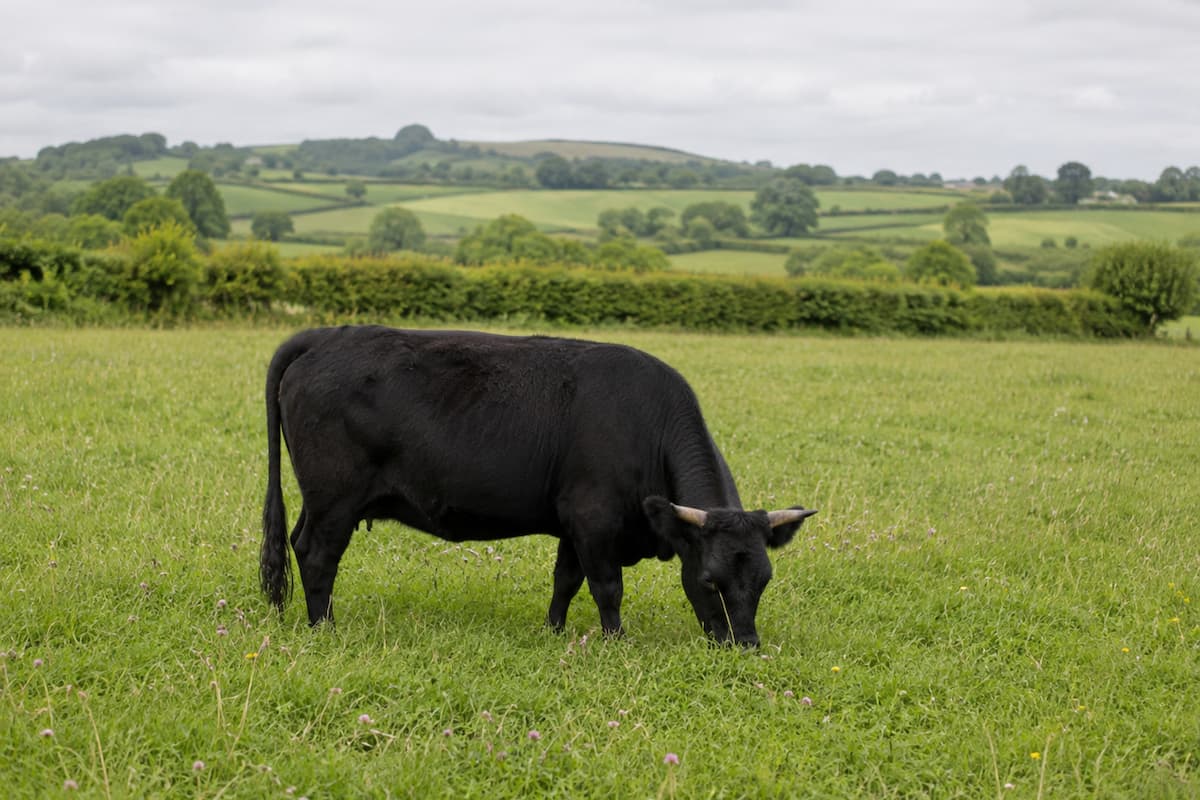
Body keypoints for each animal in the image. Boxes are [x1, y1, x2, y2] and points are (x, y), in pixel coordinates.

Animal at [260, 325, 816, 646]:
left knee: (298, 544)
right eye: (709, 581)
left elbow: (565, 580)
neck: (648, 425)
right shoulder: (594, 520)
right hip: (335, 498)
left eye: (764, 580)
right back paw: (324, 628)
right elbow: (607, 586)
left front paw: (553, 630)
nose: (744, 644)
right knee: (317, 555)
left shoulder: (574, 523)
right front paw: (616, 642)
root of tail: (326, 336)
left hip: (321, 499)